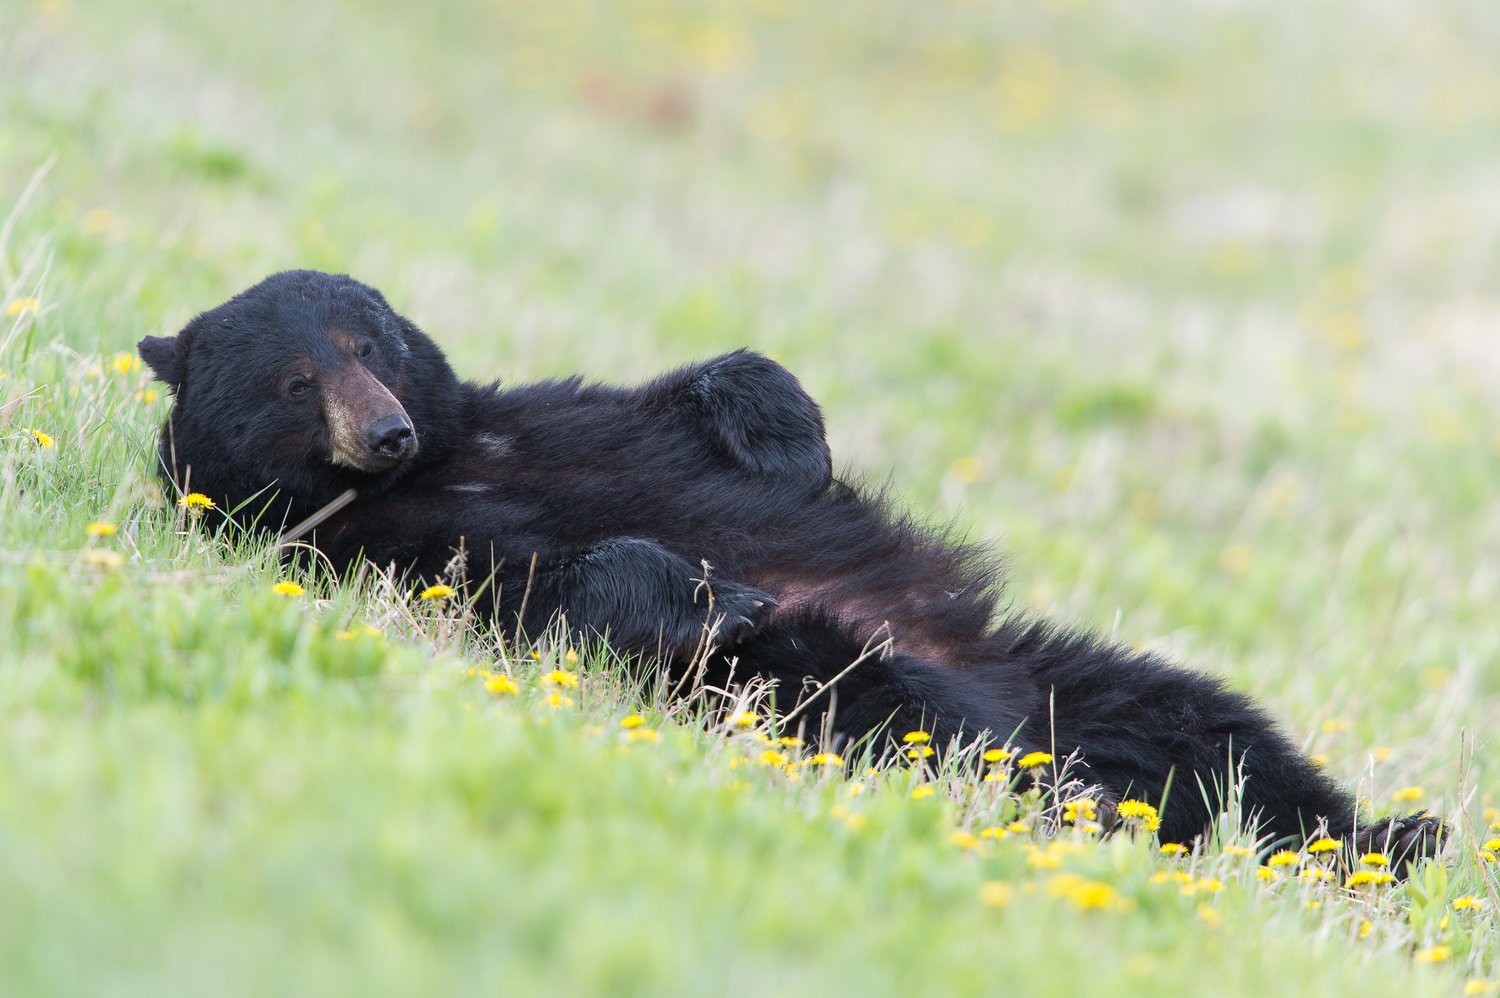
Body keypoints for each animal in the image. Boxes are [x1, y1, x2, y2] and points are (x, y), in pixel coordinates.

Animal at [139, 269, 1442, 866]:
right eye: (293, 381)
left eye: (371, 341)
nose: (387, 429)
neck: (444, 471)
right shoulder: (378, 556)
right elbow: (544, 598)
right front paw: (708, 588)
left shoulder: (547, 411)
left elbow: (701, 388)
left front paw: (785, 437)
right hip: (848, 685)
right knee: (937, 721)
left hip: (1066, 669)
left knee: (1222, 730)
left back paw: (1388, 836)